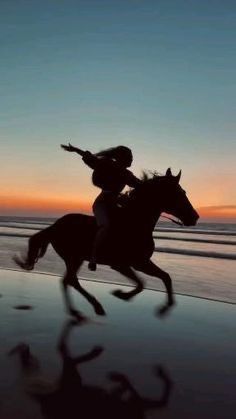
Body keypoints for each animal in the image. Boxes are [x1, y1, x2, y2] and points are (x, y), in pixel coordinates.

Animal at [14, 167, 199, 316]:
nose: (195, 217)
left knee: (67, 281)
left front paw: (165, 308)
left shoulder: (141, 262)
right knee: (72, 280)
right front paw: (121, 294)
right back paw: (95, 307)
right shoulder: (126, 264)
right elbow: (141, 283)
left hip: (76, 259)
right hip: (73, 258)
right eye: (179, 193)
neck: (135, 223)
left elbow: (165, 277)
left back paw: (76, 311)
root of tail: (54, 226)